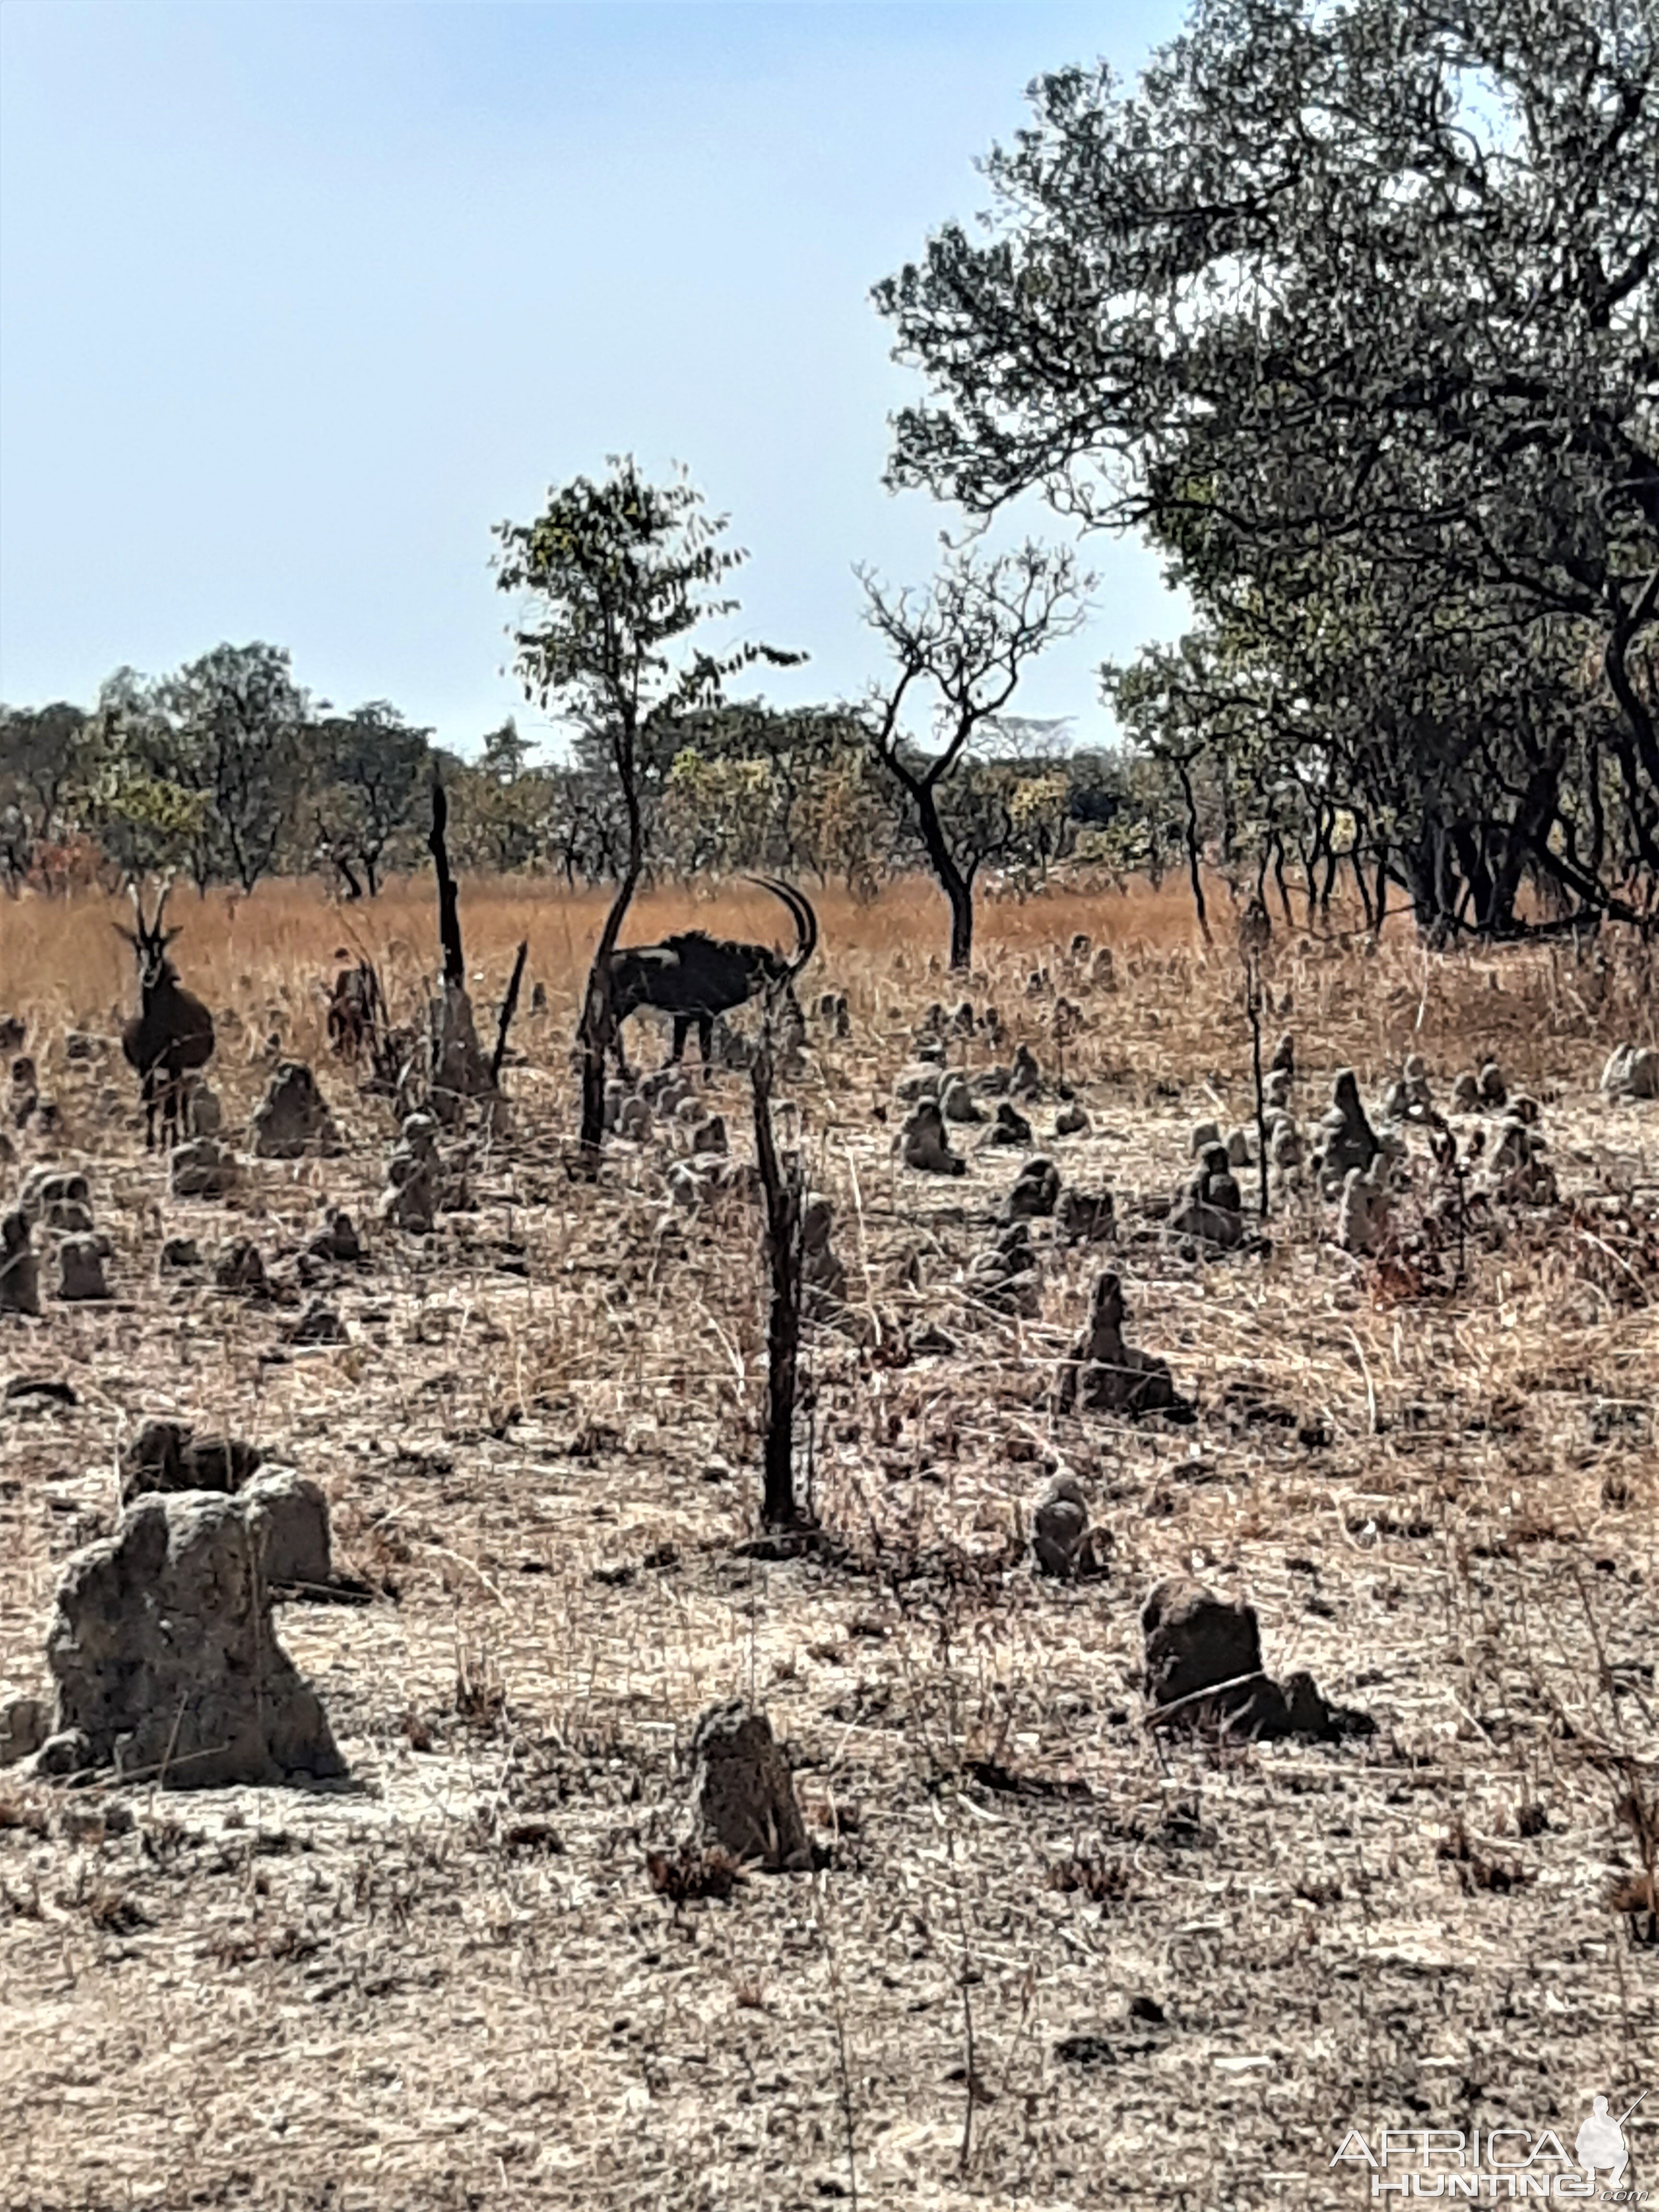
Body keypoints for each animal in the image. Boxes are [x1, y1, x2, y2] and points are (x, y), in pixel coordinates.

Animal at [118, 871, 217, 1150]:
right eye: (138, 947)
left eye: (160, 947)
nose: (149, 973)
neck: (152, 1022)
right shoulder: (146, 1067)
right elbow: (151, 1104)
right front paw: (151, 1142)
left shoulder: (174, 1065)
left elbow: (171, 1105)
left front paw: (171, 1141)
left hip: (185, 1072)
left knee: (181, 1100)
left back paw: (181, 1135)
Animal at [610, 876, 818, 1075]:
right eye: (783, 975)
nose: (797, 1014)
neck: (723, 966)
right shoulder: (699, 1017)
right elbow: (702, 1057)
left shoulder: (687, 1019)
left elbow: (681, 1056)